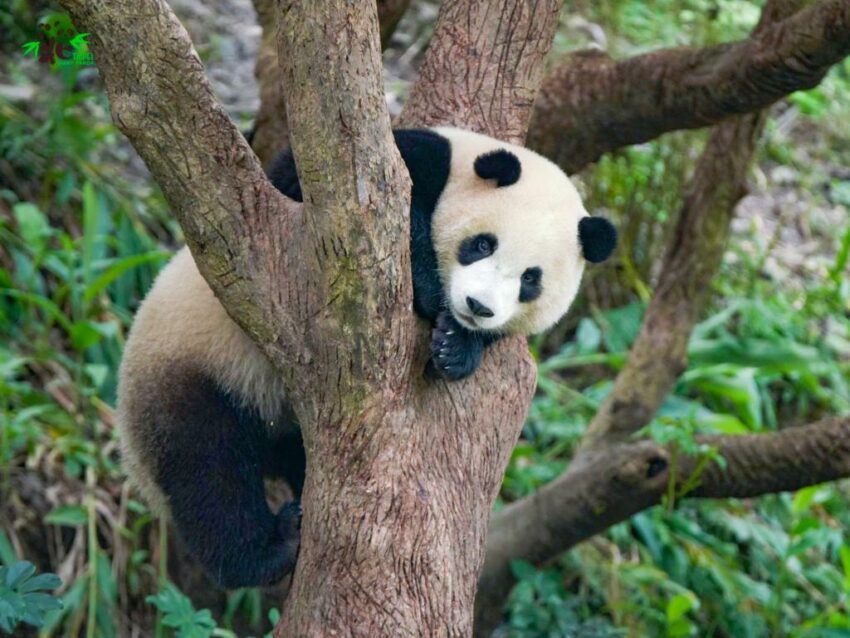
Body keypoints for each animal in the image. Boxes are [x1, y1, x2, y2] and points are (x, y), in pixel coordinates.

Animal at [116, 126, 612, 592]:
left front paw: (458, 346)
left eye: (531, 280)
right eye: (482, 244)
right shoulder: (406, 161)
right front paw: (430, 293)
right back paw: (271, 548)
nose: (478, 305)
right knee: (208, 471)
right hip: (194, 372)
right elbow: (306, 190)